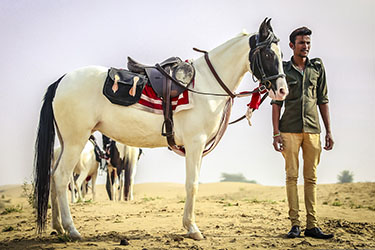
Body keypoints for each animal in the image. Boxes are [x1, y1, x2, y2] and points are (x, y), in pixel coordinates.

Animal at [34, 17, 288, 240]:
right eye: (268, 54)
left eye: (282, 54)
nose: (282, 90)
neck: (206, 84)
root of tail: (61, 81)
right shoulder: (195, 143)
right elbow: (192, 184)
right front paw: (192, 228)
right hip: (76, 141)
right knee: (61, 177)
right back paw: (72, 230)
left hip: (66, 142)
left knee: (53, 177)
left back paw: (58, 227)